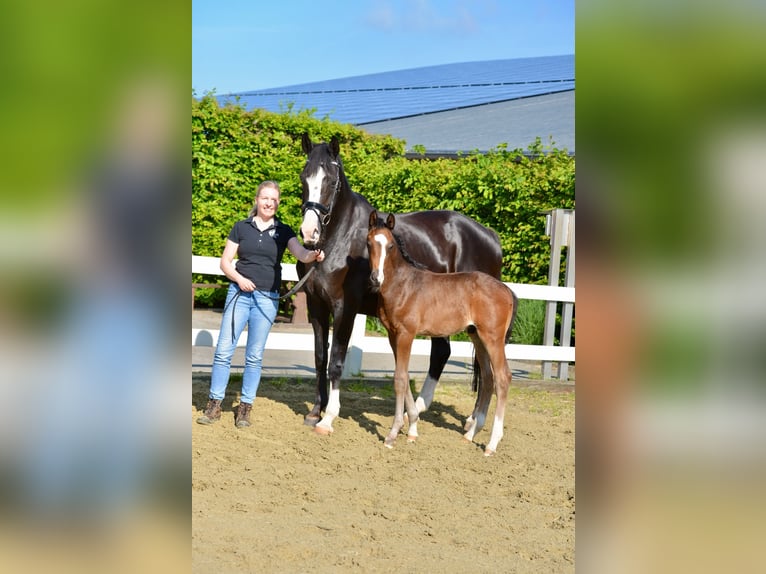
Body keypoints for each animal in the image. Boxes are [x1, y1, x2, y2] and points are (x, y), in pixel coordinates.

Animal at [296, 134, 503, 435]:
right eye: (304, 177)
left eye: (331, 181)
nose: (309, 232)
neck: (339, 237)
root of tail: (489, 235)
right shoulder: (317, 306)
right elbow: (320, 357)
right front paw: (315, 411)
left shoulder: (345, 308)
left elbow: (335, 361)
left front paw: (328, 417)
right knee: (444, 353)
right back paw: (424, 413)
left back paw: (469, 420)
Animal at [367, 212, 518, 455]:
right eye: (369, 243)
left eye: (390, 246)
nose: (375, 278)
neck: (403, 285)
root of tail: (506, 290)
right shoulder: (393, 335)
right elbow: (404, 376)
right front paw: (412, 430)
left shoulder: (406, 334)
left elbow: (400, 379)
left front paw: (392, 434)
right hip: (477, 336)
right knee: (488, 378)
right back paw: (470, 435)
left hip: (493, 338)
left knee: (503, 377)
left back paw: (491, 444)